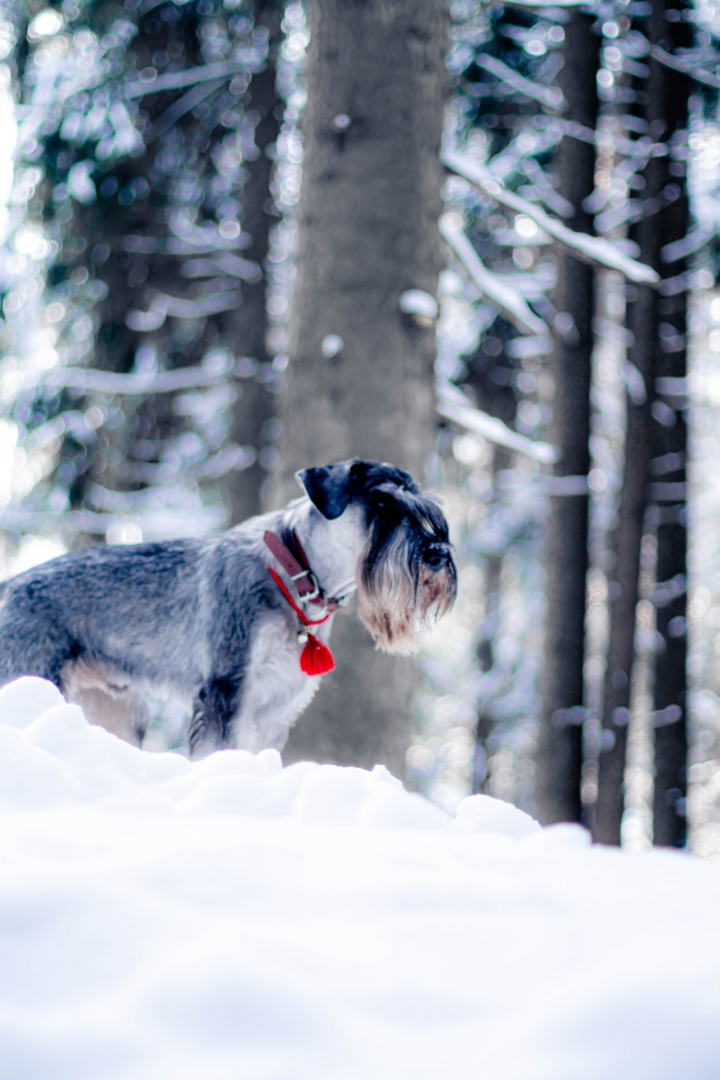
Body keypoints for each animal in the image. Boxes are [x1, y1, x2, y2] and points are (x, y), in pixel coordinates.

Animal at [0, 460, 455, 756]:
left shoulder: (276, 707)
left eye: (430, 511)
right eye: (381, 505)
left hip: (115, 709)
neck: (296, 571)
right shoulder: (227, 690)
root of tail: (9, 586)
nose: (436, 554)